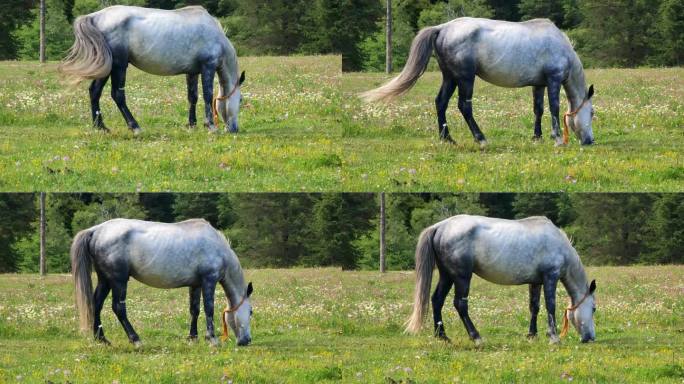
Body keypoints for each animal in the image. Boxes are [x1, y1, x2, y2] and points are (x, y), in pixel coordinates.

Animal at [58, 4, 246, 135]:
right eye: (241, 100)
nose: (234, 129)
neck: (216, 35)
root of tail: (95, 16)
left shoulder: (192, 72)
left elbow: (192, 97)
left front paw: (192, 124)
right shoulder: (208, 67)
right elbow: (207, 95)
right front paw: (210, 126)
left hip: (107, 67)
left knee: (94, 92)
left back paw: (101, 127)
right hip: (119, 66)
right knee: (117, 95)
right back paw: (135, 127)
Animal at [71, 218, 254, 346]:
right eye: (251, 312)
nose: (247, 341)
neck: (217, 247)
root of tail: (96, 230)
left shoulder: (195, 284)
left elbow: (194, 310)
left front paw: (193, 337)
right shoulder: (209, 280)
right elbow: (209, 308)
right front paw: (212, 339)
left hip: (105, 280)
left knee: (97, 304)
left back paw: (102, 339)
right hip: (118, 280)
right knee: (118, 308)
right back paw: (136, 340)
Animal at [364, 16, 592, 146]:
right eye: (593, 113)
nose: (590, 141)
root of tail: (442, 28)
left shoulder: (539, 85)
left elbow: (538, 109)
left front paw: (537, 137)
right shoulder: (553, 81)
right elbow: (554, 108)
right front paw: (557, 138)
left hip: (450, 78)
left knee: (441, 103)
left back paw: (447, 139)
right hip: (465, 78)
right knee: (464, 106)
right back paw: (481, 139)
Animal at [406, 214, 600, 344]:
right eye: (594, 308)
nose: (590, 338)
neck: (559, 245)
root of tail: (441, 226)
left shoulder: (536, 282)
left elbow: (534, 307)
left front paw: (532, 335)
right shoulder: (550, 278)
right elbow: (550, 306)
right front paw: (553, 337)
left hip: (447, 276)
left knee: (437, 300)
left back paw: (442, 336)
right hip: (461, 277)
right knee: (460, 304)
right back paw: (476, 337)